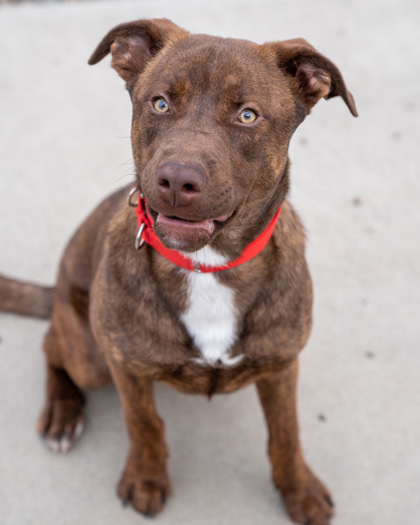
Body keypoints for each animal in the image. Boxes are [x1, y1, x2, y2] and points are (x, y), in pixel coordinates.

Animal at [0, 17, 358, 524]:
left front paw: (298, 490)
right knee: (52, 344)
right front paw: (146, 479)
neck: (207, 266)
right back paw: (63, 413)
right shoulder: (125, 367)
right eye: (160, 103)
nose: (176, 180)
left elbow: (286, 433)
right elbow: (143, 422)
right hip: (91, 356)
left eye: (248, 115)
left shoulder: (282, 363)